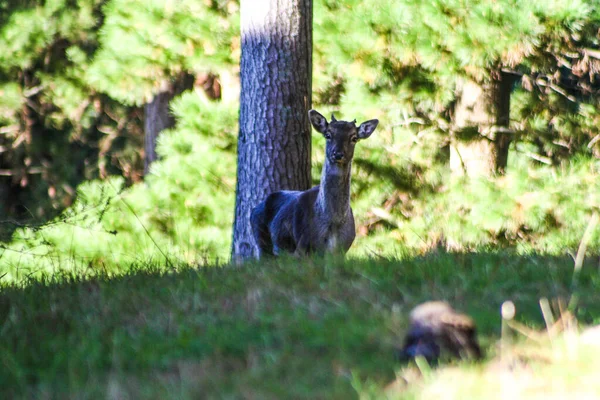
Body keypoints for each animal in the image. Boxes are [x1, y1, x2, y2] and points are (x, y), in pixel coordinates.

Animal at [251, 109, 378, 258]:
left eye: (354, 138)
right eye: (328, 134)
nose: (338, 154)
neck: (333, 222)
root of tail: (255, 208)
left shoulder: (342, 250)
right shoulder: (302, 248)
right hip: (261, 240)